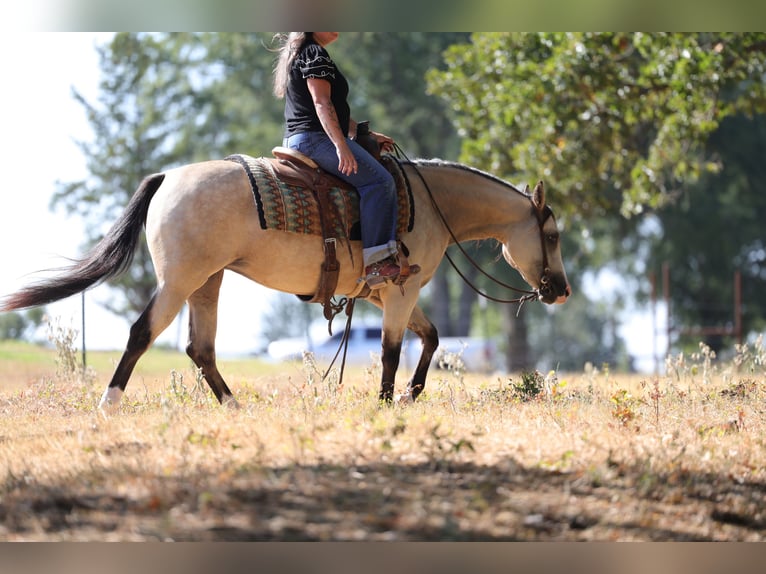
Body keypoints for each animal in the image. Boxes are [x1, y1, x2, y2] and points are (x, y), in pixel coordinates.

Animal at [0, 155, 570, 413]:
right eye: (553, 234)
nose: (561, 291)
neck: (432, 204)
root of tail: (169, 177)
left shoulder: (392, 295)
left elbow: (428, 339)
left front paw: (410, 394)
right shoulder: (400, 293)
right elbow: (392, 351)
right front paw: (389, 402)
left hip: (206, 283)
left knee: (199, 348)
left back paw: (233, 408)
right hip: (180, 280)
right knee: (143, 333)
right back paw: (110, 403)